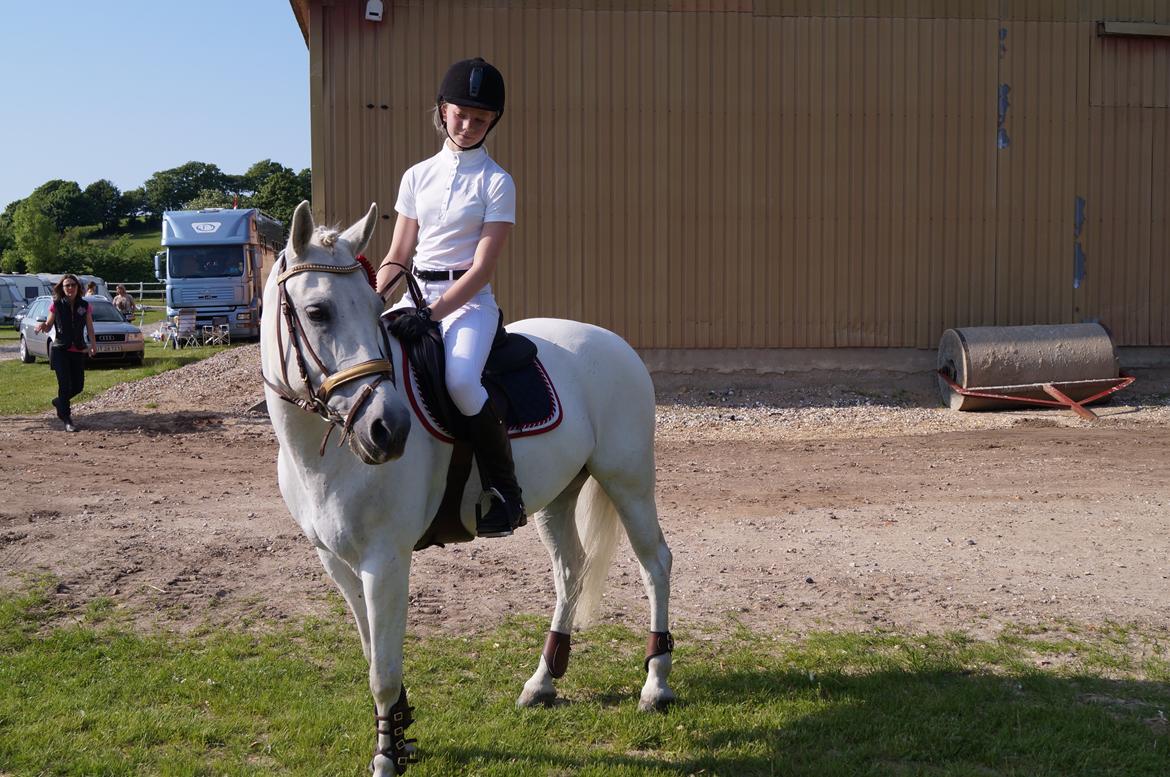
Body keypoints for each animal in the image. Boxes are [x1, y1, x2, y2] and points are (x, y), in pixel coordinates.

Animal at [259, 203, 673, 772]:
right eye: (318, 312)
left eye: (375, 308)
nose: (389, 429)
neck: (326, 456)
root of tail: (614, 342)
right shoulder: (337, 562)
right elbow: (373, 654)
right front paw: (402, 736)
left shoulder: (385, 560)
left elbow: (382, 670)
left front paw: (387, 757)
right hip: (558, 496)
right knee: (571, 570)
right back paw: (542, 681)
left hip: (628, 480)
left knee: (655, 563)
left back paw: (656, 685)